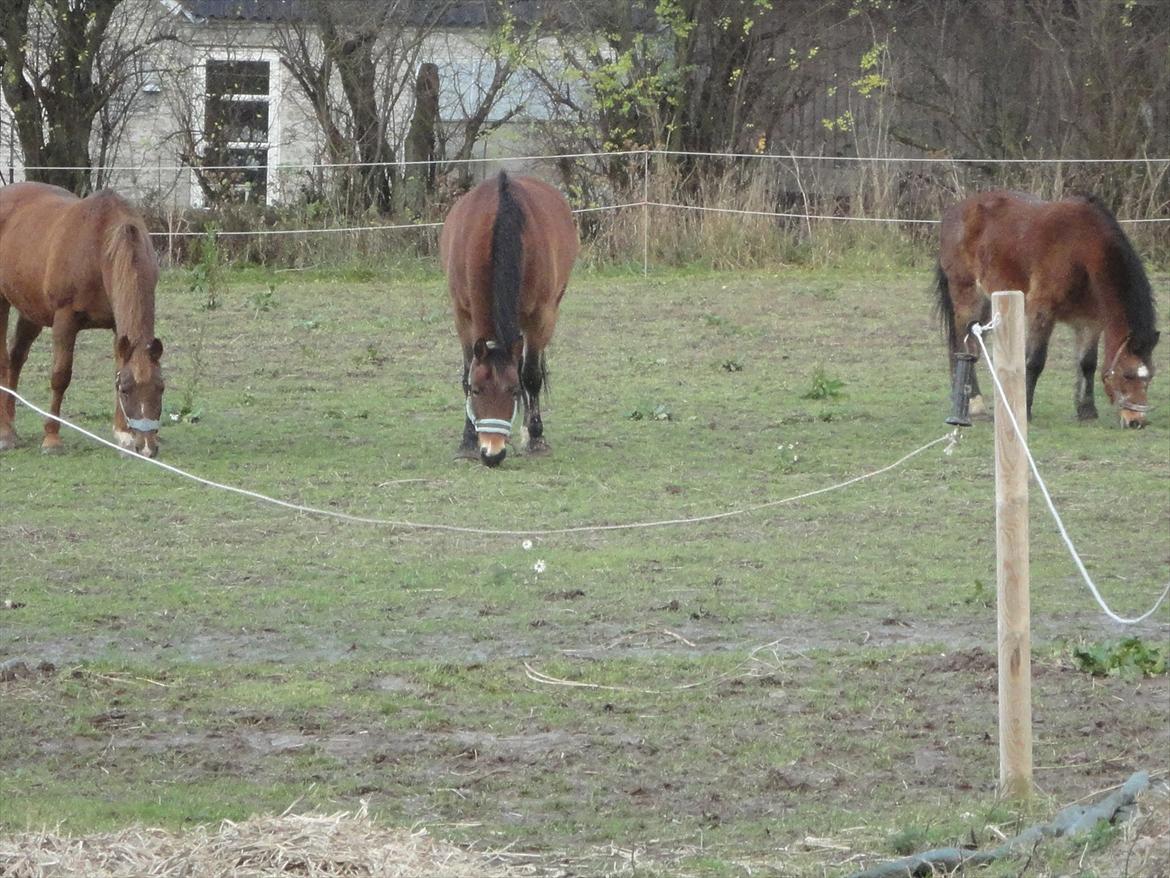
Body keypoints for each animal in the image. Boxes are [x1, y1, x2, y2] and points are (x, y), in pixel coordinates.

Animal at [0, 186, 166, 461]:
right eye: (126, 390)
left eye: (160, 388)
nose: (146, 447)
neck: (100, 246)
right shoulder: (65, 321)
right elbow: (60, 376)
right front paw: (52, 438)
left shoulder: (118, 329)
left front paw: (123, 436)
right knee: (4, 360)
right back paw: (5, 432)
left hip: (31, 311)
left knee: (16, 358)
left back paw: (11, 426)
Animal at [439, 170, 577, 468]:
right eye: (477, 390)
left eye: (513, 391)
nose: (493, 453)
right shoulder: (462, 316)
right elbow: (466, 373)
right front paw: (467, 441)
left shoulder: (541, 317)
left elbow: (531, 376)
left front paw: (536, 438)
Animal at [935, 190, 1155, 428]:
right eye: (1127, 375)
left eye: (1149, 377)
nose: (1137, 421)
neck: (1081, 249)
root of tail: (954, 211)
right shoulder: (1042, 312)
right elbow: (1034, 362)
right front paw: (1025, 410)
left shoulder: (1090, 322)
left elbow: (1087, 363)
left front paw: (1086, 410)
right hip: (968, 296)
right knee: (965, 346)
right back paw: (975, 403)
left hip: (988, 303)